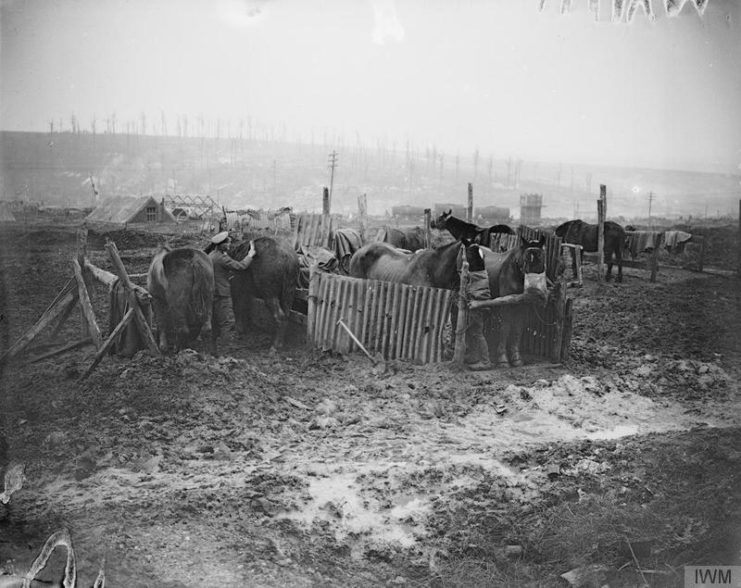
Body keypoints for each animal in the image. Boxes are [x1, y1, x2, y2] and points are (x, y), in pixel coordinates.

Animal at [480, 235, 548, 366]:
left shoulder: (522, 305)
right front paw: (503, 359)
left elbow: (517, 328)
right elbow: (505, 328)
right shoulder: (506, 305)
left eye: (542, 258)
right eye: (526, 259)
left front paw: (516, 358)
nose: (536, 295)